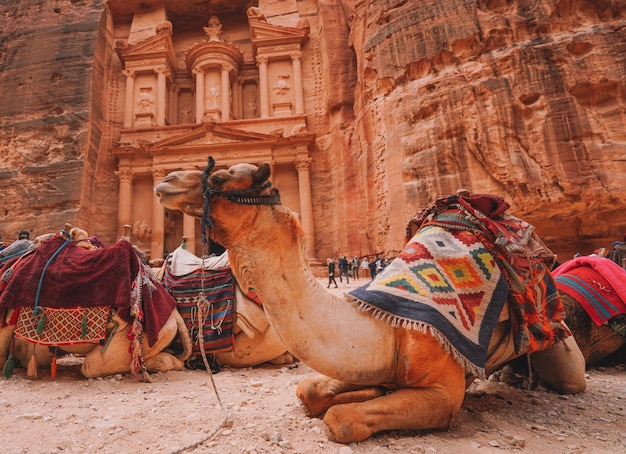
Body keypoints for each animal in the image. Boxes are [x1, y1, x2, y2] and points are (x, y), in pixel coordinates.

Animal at [154, 160, 588, 444]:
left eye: (220, 176)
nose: (167, 179)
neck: (387, 328)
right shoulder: (372, 359)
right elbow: (311, 391)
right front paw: (360, 393)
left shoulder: (442, 395)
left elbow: (340, 420)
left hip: (560, 343)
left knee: (569, 375)